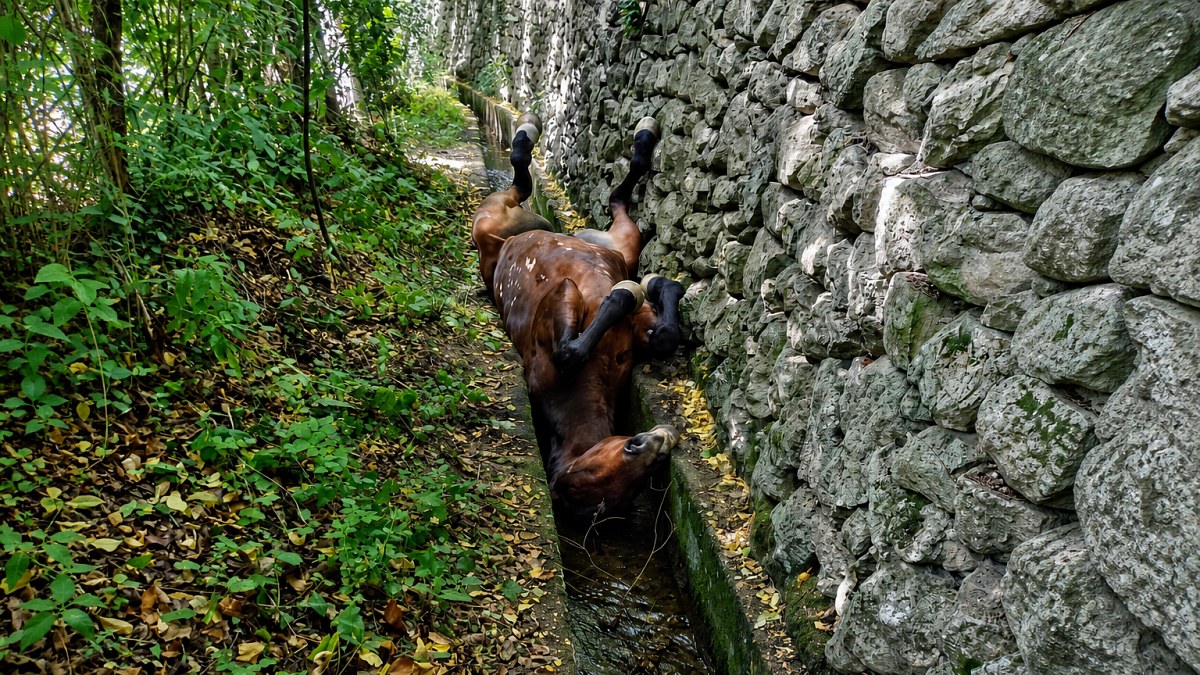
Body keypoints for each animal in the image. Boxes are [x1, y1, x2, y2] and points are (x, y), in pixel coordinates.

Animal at [471, 114, 685, 519]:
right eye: (641, 476)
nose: (653, 442)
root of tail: (504, 243)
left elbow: (663, 335)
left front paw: (651, 286)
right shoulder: (563, 303)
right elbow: (571, 352)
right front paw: (632, 290)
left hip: (587, 237)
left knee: (531, 182)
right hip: (504, 225)